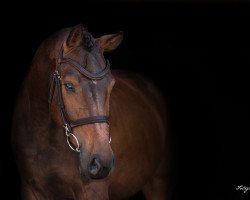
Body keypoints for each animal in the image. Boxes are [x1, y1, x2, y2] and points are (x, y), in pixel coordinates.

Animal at [11, 24, 172, 199]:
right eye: (69, 85)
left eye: (111, 85)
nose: (101, 163)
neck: (46, 139)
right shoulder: (31, 189)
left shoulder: (94, 191)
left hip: (158, 182)